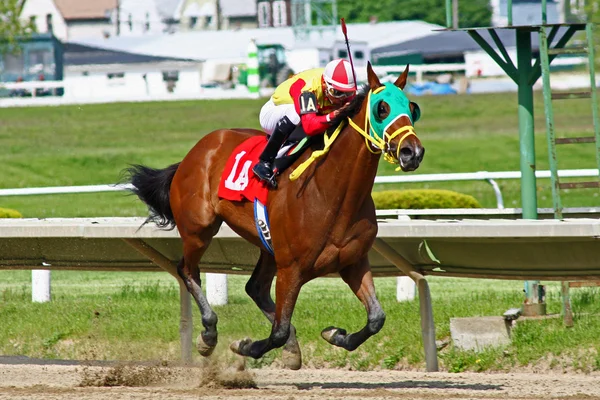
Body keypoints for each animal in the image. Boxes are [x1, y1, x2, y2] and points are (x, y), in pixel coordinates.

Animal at [127, 62, 422, 368]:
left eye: (413, 108)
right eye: (382, 108)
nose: (412, 152)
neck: (332, 193)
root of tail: (196, 151)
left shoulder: (353, 262)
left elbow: (376, 318)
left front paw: (334, 334)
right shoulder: (291, 268)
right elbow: (278, 330)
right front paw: (246, 346)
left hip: (267, 245)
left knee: (255, 288)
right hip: (199, 229)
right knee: (187, 270)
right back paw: (208, 333)